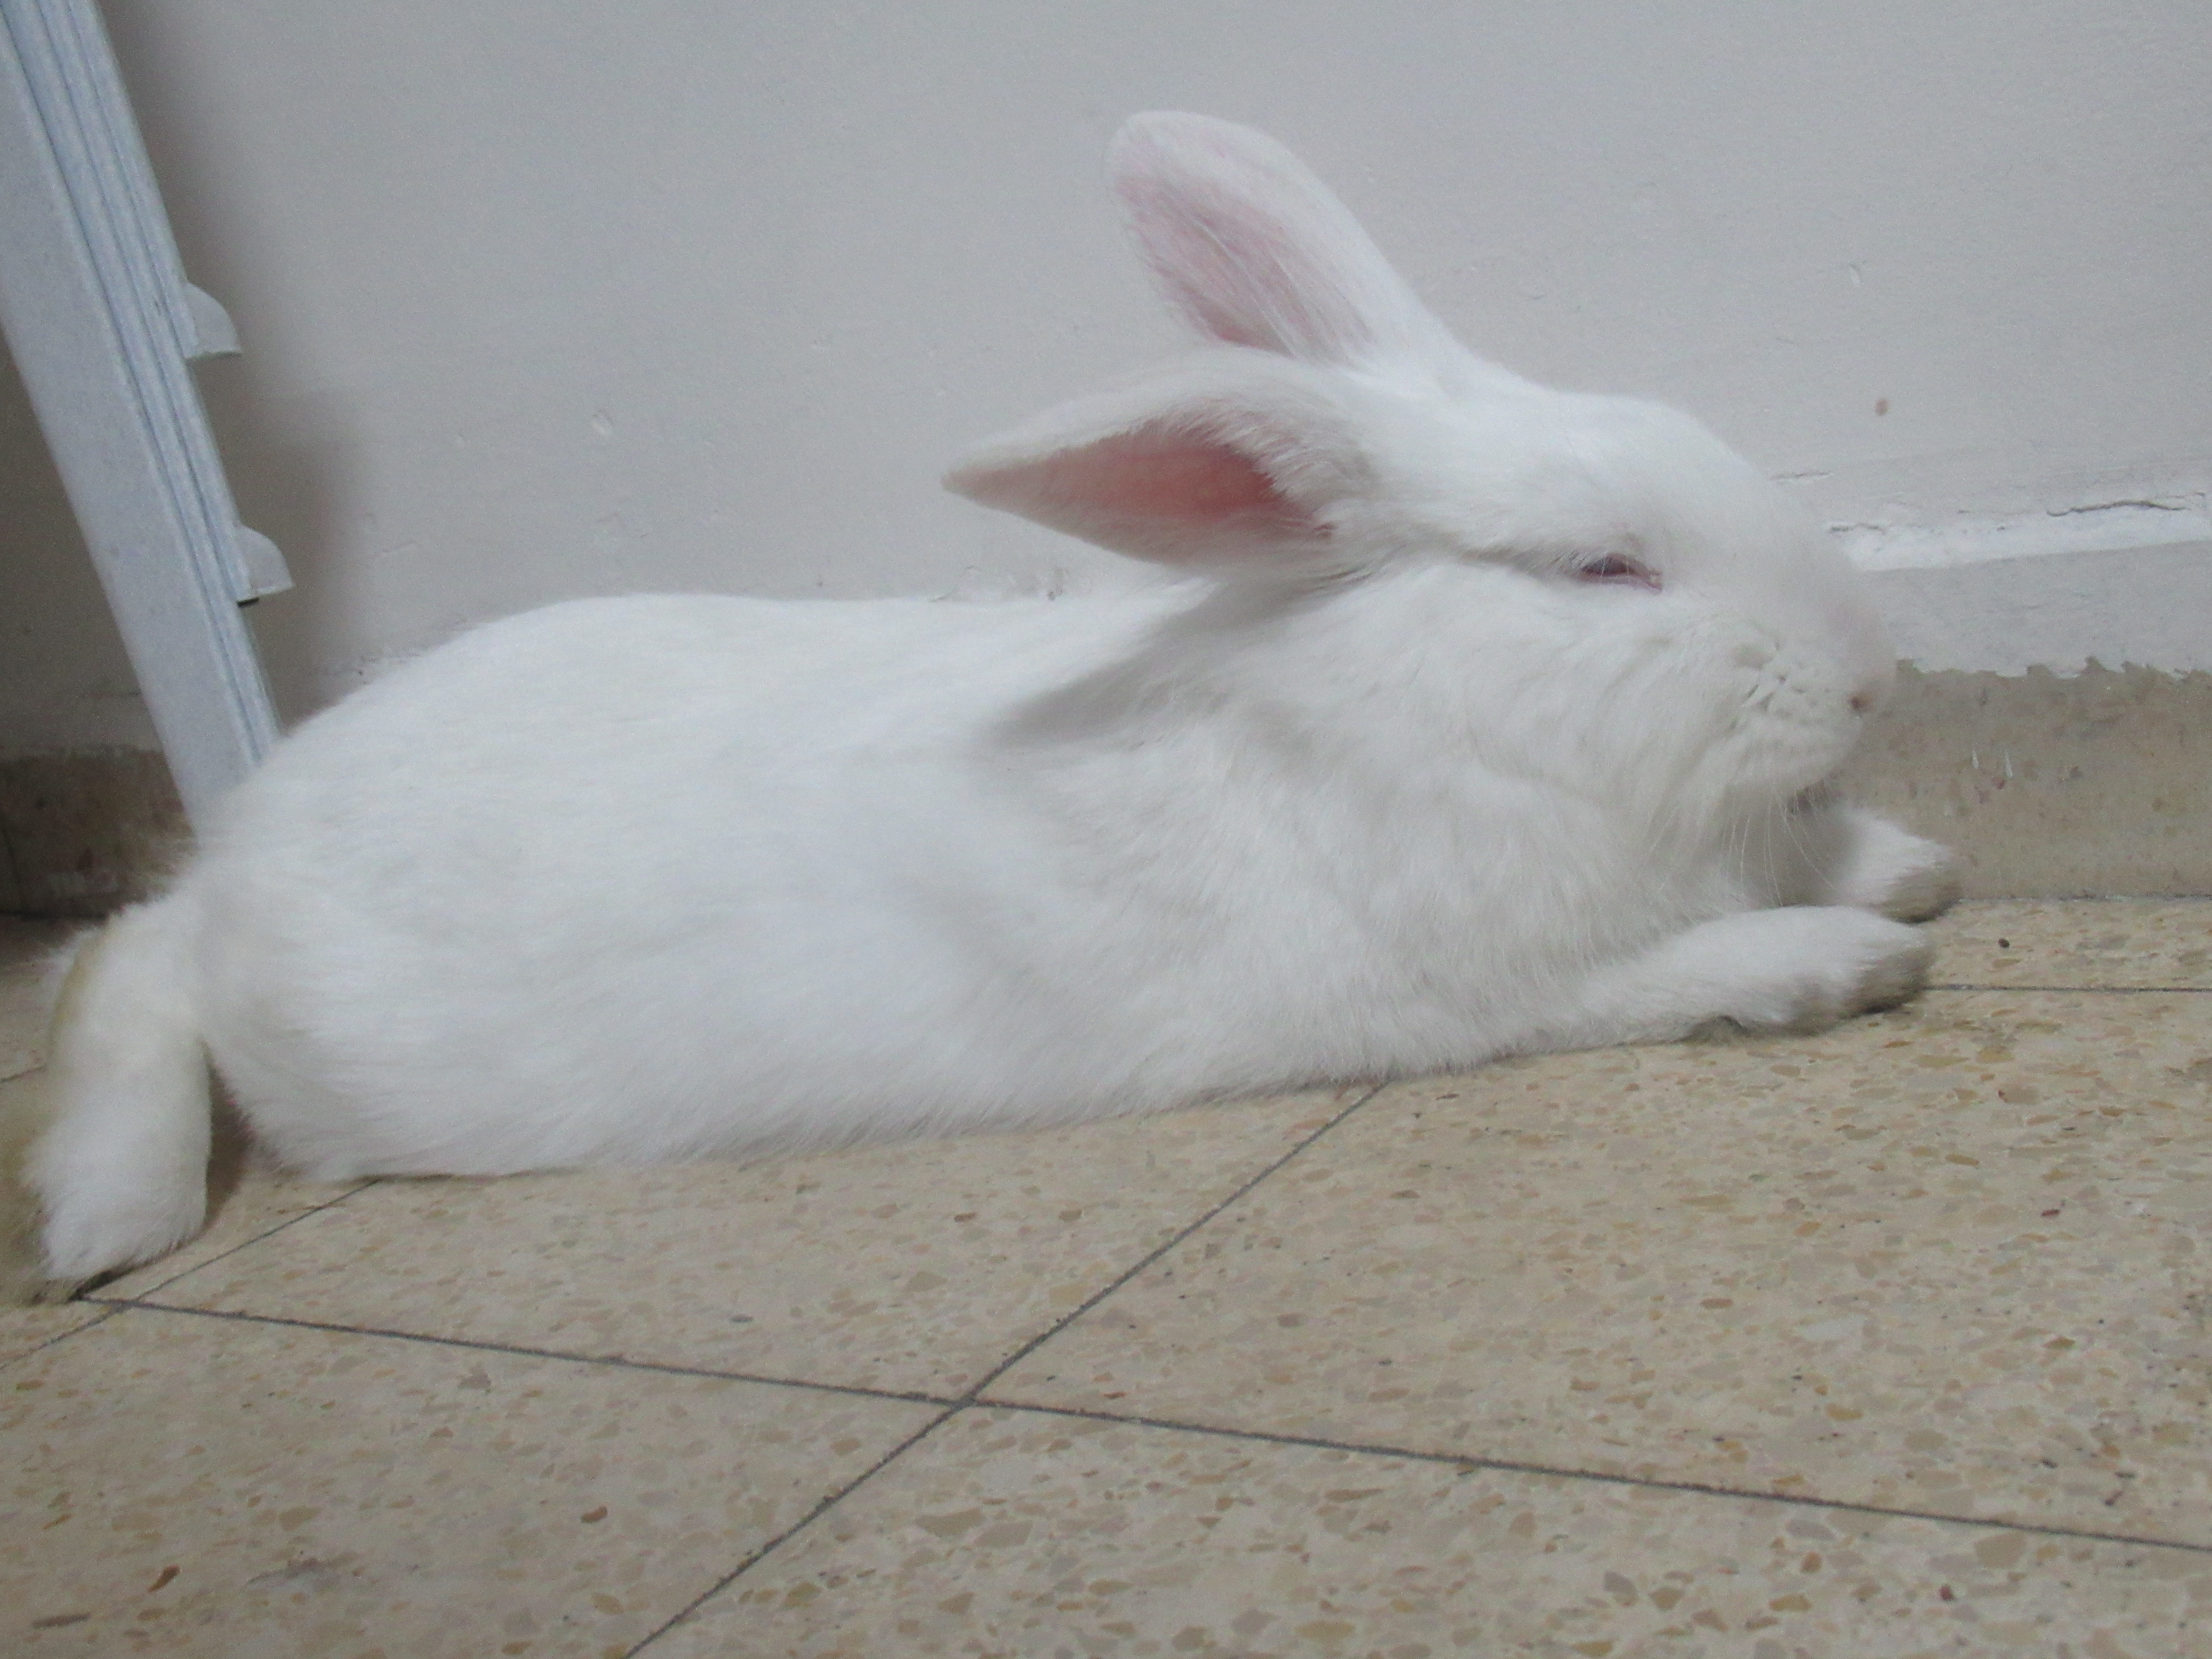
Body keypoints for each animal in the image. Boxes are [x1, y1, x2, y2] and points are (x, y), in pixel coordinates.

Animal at [4, 112, 1956, 1300]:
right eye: (1599, 571)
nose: (1873, 670)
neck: (1413, 697)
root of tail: (252, 842)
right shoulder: (1472, 994)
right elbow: (1674, 974)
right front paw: (1848, 960)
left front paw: (1908, 863)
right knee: (124, 965)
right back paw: (107, 1220)